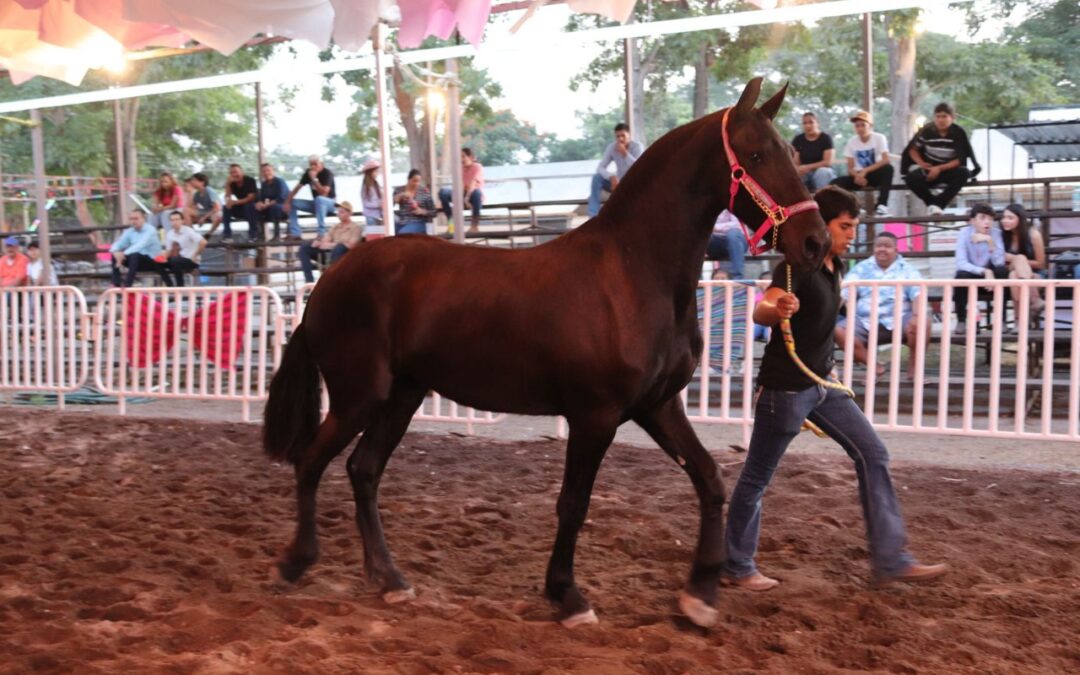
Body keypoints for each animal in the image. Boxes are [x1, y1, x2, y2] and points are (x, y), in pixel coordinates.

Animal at [263, 77, 828, 629]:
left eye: (791, 152)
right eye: (756, 155)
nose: (816, 243)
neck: (633, 273)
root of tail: (328, 280)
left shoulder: (657, 406)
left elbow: (710, 480)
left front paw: (701, 597)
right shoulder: (594, 416)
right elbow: (573, 504)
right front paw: (569, 597)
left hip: (401, 396)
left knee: (363, 470)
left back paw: (389, 579)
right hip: (359, 396)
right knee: (311, 460)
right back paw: (295, 562)